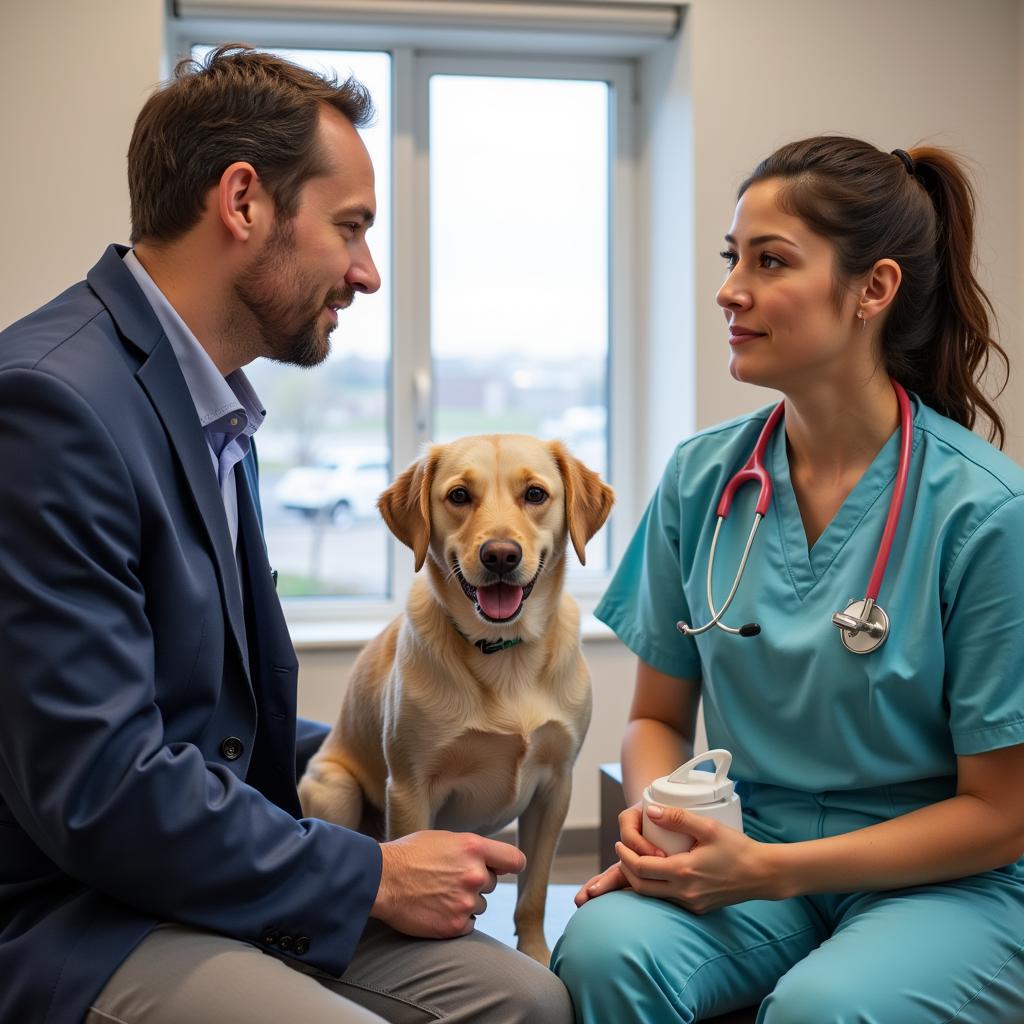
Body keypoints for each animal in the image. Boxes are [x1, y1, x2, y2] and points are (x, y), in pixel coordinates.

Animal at [299, 436, 610, 962]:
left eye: (535, 494)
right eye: (460, 496)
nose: (501, 555)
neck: (504, 652)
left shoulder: (555, 788)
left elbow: (534, 891)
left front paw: (535, 954)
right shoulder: (409, 790)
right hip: (333, 788)